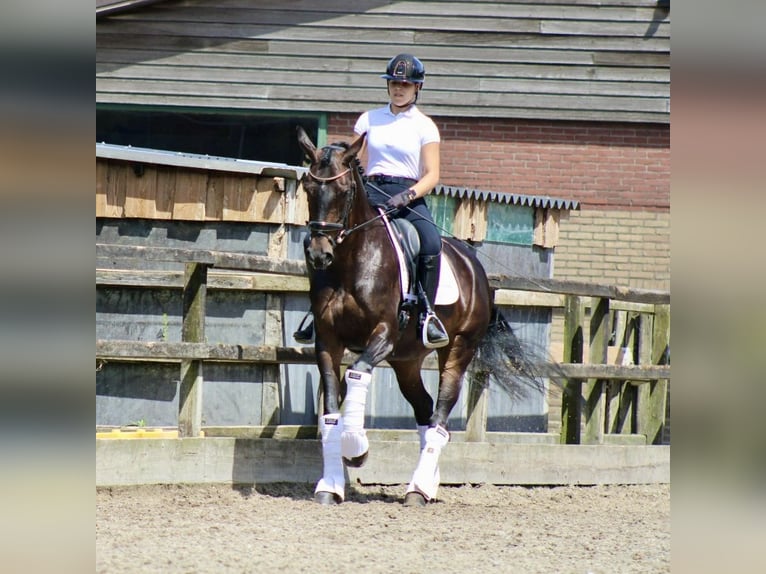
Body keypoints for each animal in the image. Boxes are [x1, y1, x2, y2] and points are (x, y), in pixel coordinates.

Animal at [296, 127, 544, 508]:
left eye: (344, 190)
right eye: (308, 187)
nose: (319, 254)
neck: (350, 262)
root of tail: (476, 269)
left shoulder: (383, 334)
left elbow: (357, 374)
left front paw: (357, 448)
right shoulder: (327, 340)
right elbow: (330, 415)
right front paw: (330, 486)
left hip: (458, 349)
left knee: (440, 416)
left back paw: (418, 488)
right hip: (407, 361)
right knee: (426, 412)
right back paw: (427, 483)